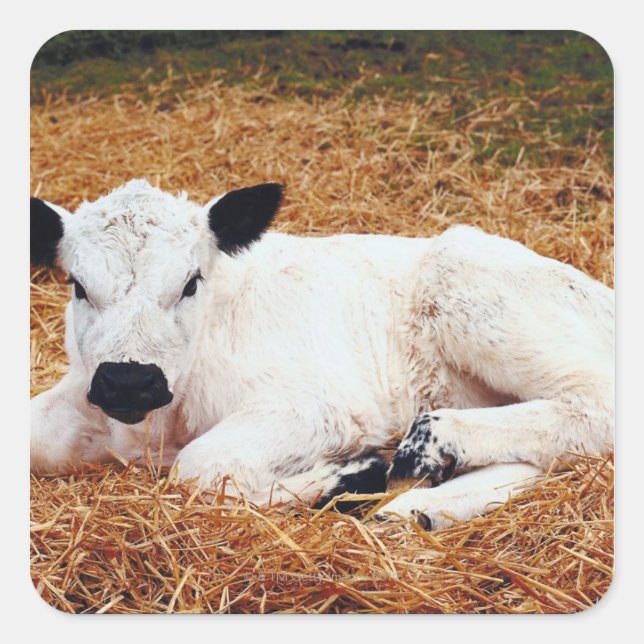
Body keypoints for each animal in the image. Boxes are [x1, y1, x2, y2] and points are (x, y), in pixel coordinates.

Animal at [30, 179, 614, 530]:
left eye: (191, 283)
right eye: (78, 285)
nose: (128, 381)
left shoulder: (319, 407)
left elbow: (201, 468)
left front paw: (351, 476)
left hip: (470, 292)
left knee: (596, 407)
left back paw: (429, 447)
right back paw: (422, 506)